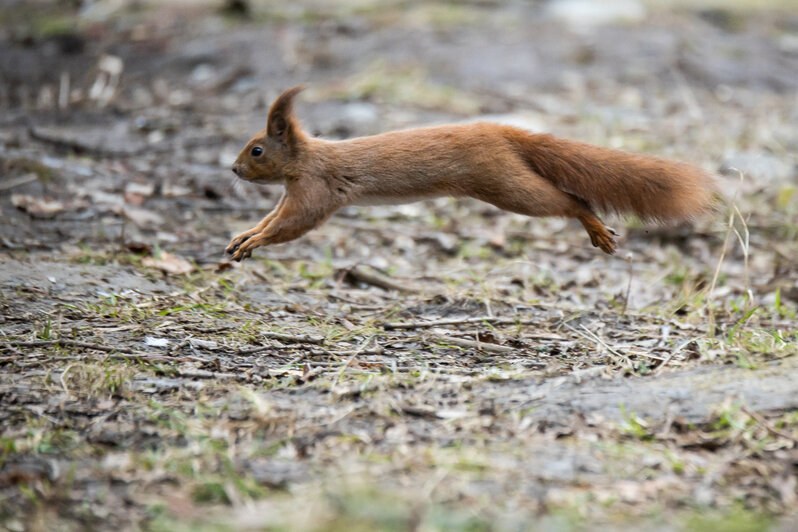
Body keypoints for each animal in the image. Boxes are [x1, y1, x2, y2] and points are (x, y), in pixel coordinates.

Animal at [225, 86, 720, 260]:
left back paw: (594, 227)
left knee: (569, 201)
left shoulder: (316, 190)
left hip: (505, 185)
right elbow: (273, 218)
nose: (233, 168)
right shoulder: (291, 192)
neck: (303, 162)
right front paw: (243, 236)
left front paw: (254, 243)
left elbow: (292, 224)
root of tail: (500, 132)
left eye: (256, 149)